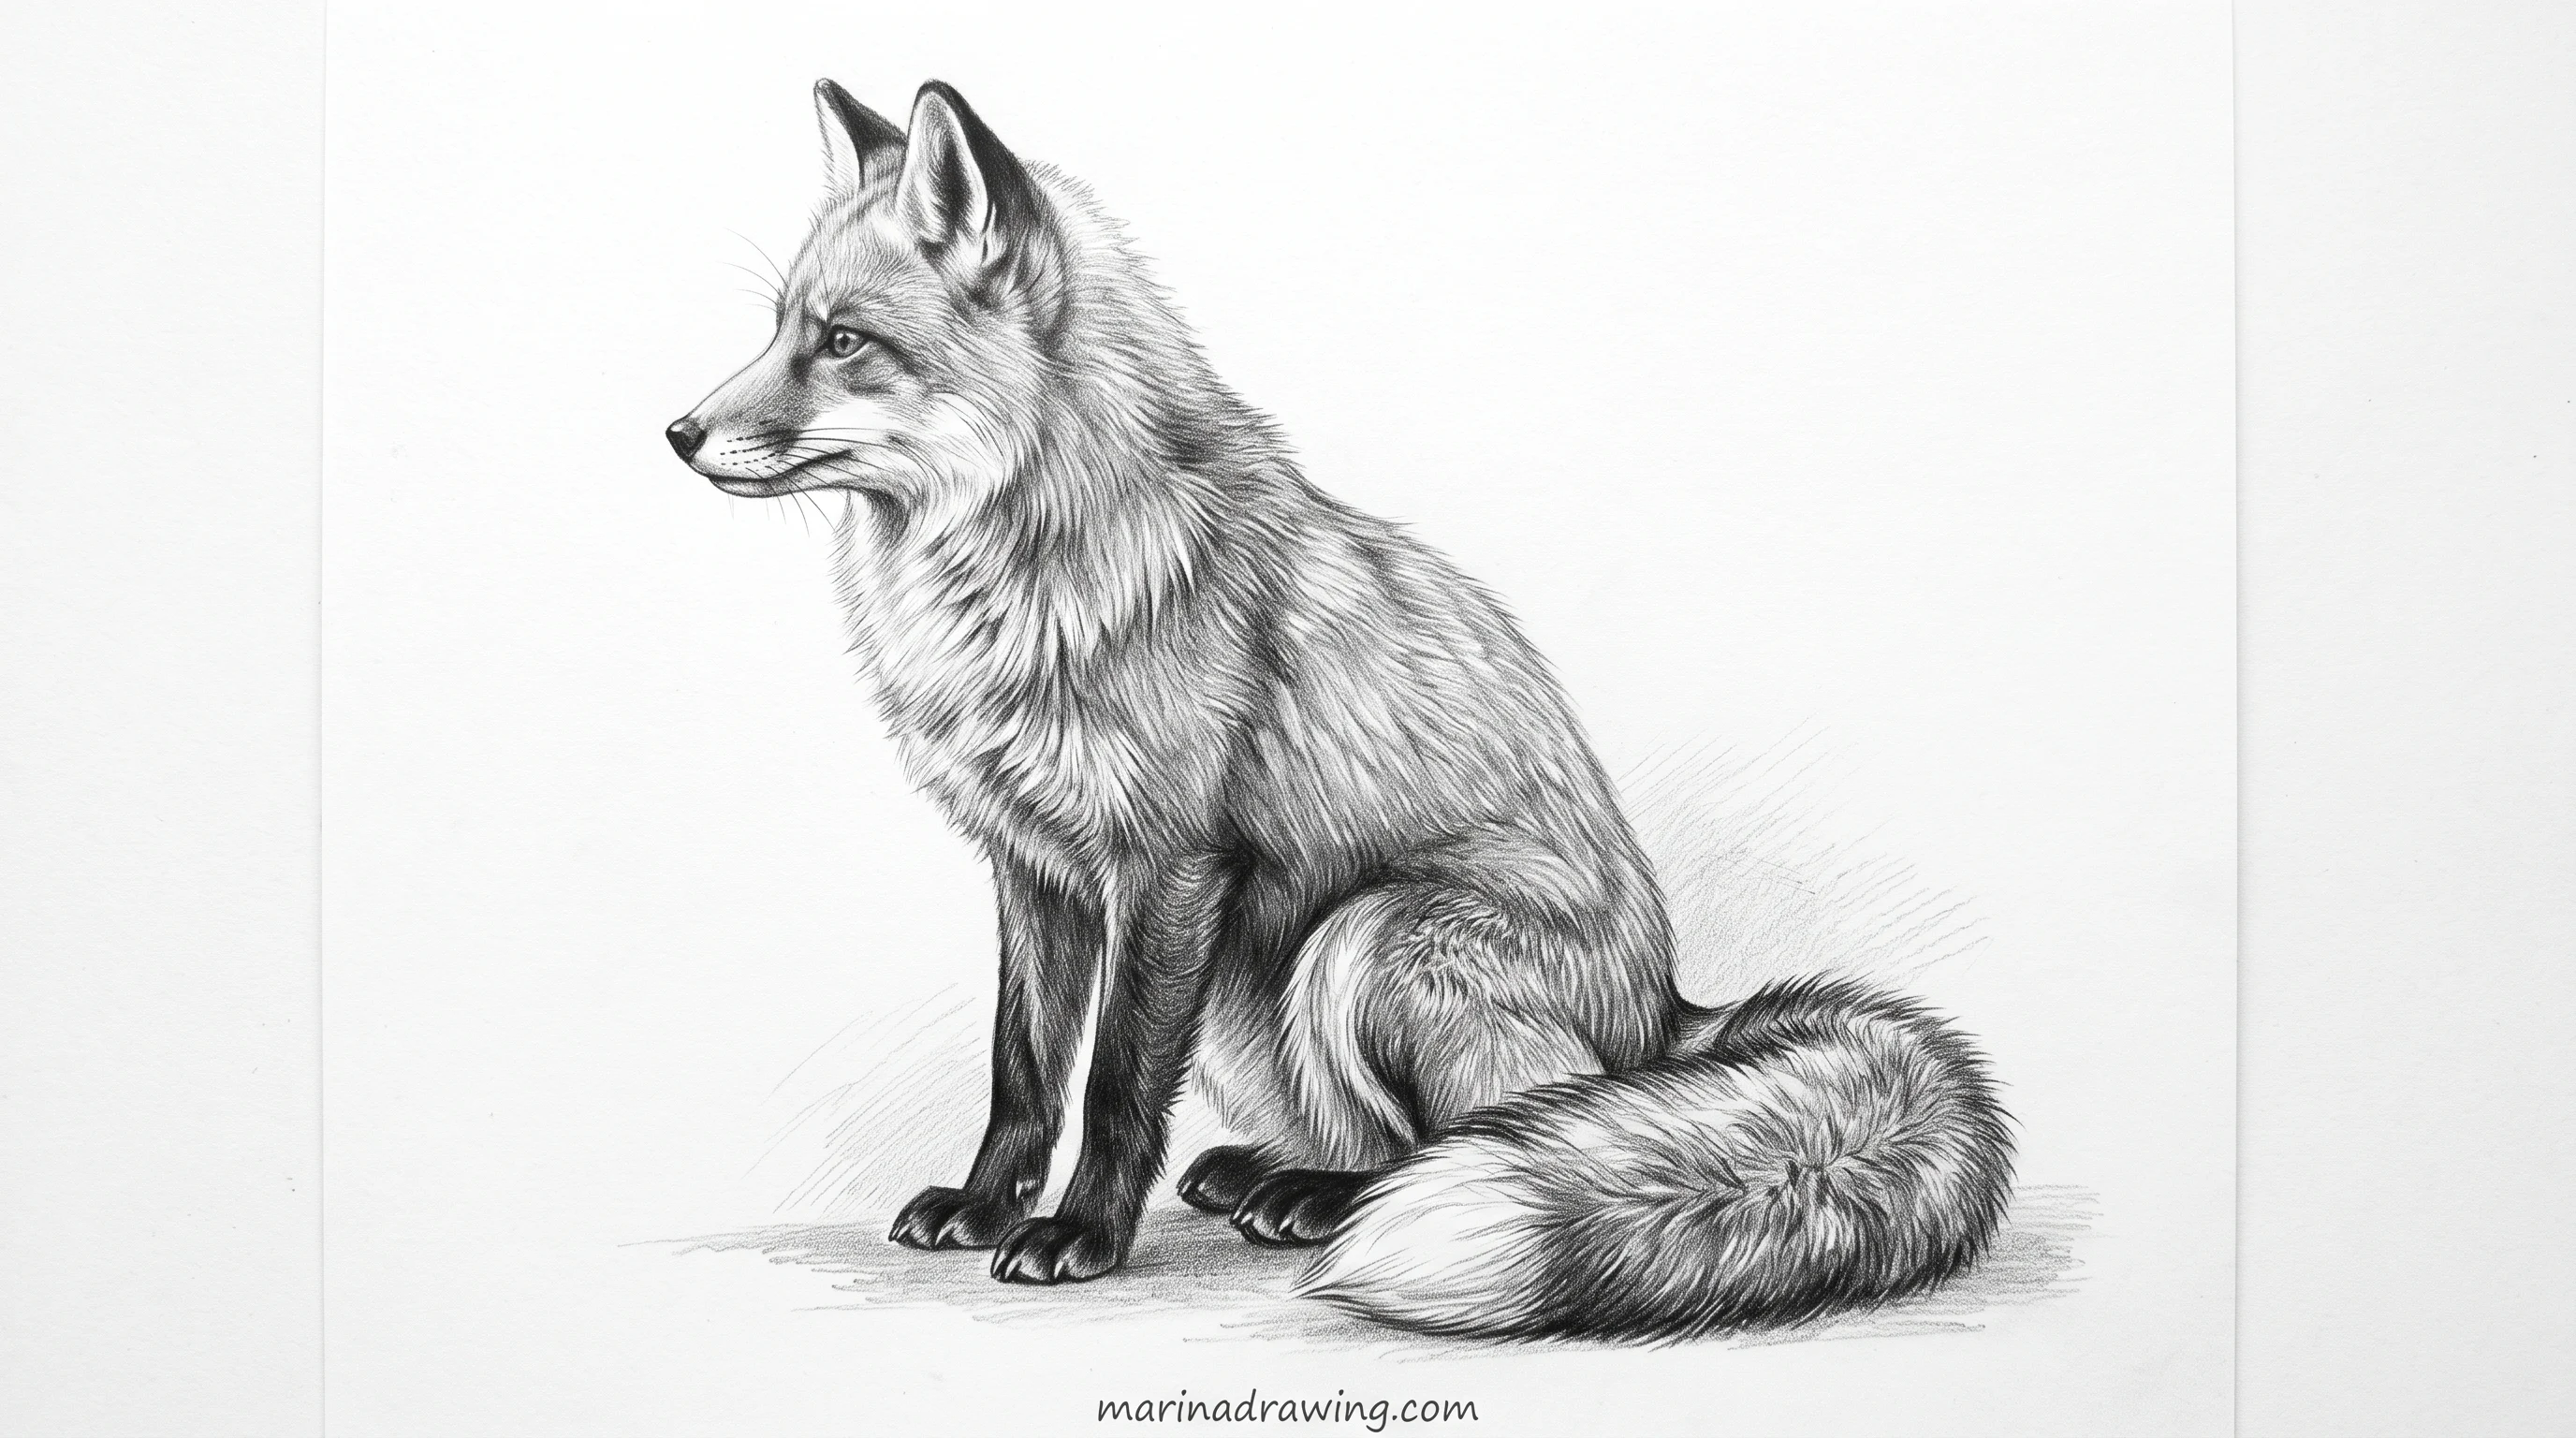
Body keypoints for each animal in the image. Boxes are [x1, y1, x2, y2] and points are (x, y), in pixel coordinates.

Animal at [667, 78, 2015, 1341]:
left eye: (844, 341)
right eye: (779, 329)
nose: (677, 433)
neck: (1027, 580)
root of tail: (1669, 1017)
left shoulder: (1169, 866)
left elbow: (1111, 1088)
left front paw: (1082, 1235)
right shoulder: (1034, 869)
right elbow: (1024, 1075)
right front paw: (987, 1207)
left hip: (1364, 937)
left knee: (1491, 1131)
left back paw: (1320, 1203)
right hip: (1252, 999)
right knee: (1400, 1134)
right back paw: (1270, 1176)